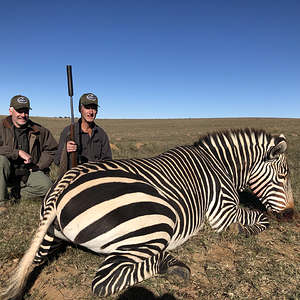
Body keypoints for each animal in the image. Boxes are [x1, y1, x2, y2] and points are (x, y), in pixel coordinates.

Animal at [1, 127, 294, 298]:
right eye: (283, 176)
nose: (292, 215)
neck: (221, 166)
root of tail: (65, 181)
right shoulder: (223, 212)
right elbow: (262, 219)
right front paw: (242, 230)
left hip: (50, 237)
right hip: (157, 220)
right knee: (105, 281)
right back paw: (173, 267)